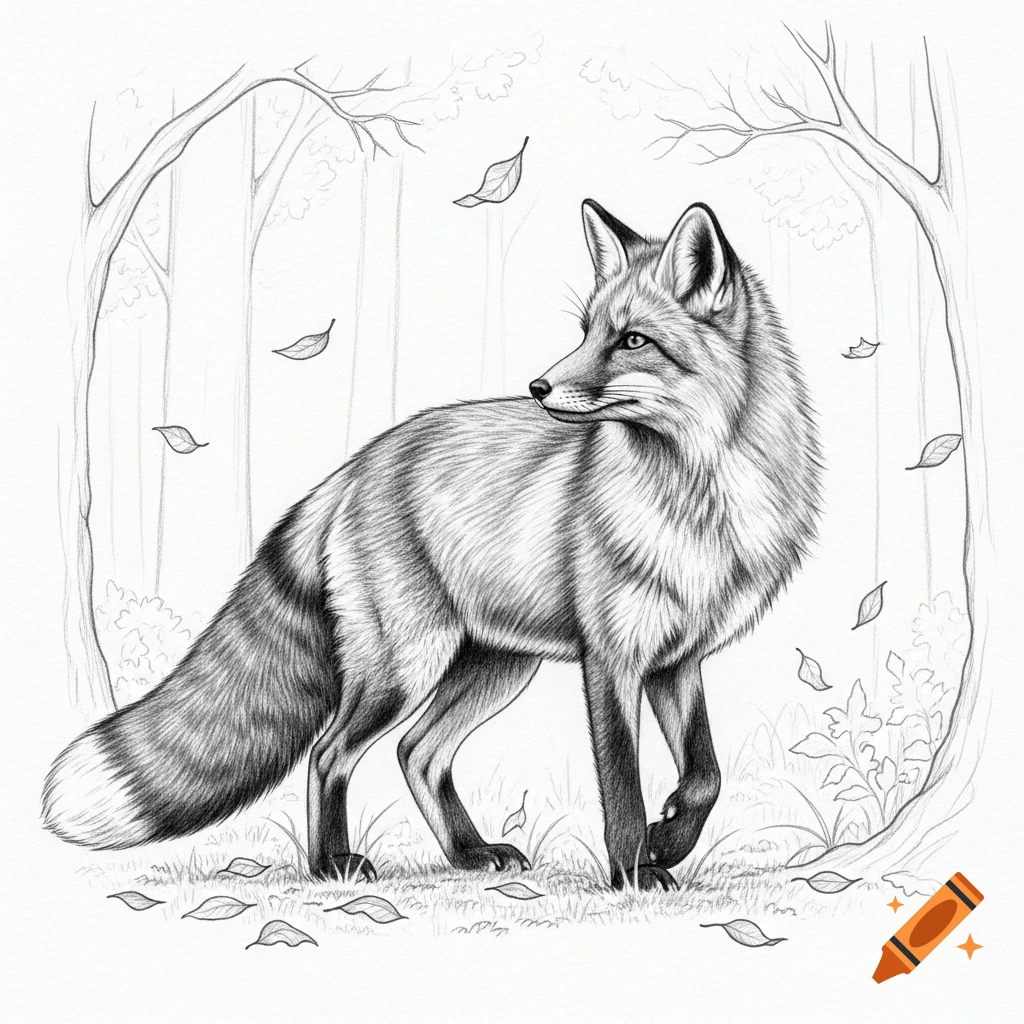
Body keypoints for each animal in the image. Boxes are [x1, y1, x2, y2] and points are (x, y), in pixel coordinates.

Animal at [43, 199, 820, 890]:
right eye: (585, 330)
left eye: (631, 340)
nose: (538, 386)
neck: (699, 503)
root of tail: (359, 462)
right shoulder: (611, 659)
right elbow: (622, 783)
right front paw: (634, 868)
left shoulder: (677, 660)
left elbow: (705, 774)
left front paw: (669, 840)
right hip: (405, 667)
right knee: (330, 752)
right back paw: (332, 863)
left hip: (494, 667)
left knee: (417, 752)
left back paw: (469, 854)